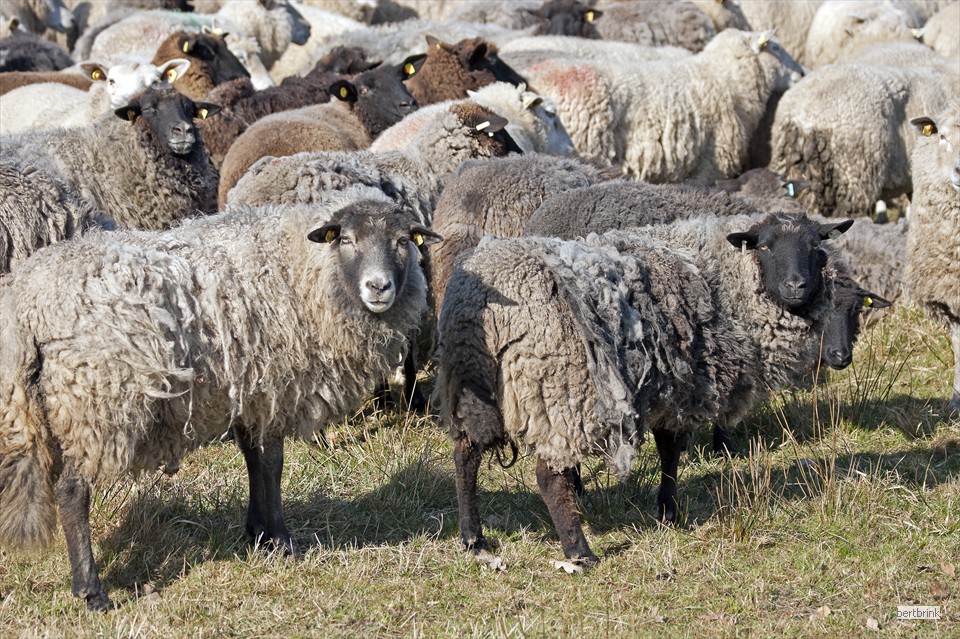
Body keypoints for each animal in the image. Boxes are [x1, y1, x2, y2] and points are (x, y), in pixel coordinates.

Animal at [0, 185, 442, 610]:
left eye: (403, 240)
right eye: (346, 239)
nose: (378, 287)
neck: (302, 269)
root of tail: (28, 306)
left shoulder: (248, 392)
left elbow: (252, 460)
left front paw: (257, 533)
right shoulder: (276, 387)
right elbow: (272, 464)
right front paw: (282, 539)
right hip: (96, 402)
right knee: (73, 494)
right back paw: (91, 592)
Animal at [435, 212, 852, 564]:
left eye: (816, 248)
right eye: (765, 246)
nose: (796, 286)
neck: (722, 281)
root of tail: (482, 304)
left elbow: (668, 450)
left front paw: (667, 510)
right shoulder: (686, 388)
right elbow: (670, 452)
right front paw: (670, 510)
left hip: (471, 386)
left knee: (465, 456)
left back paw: (473, 538)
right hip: (558, 389)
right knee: (548, 476)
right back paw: (579, 552)